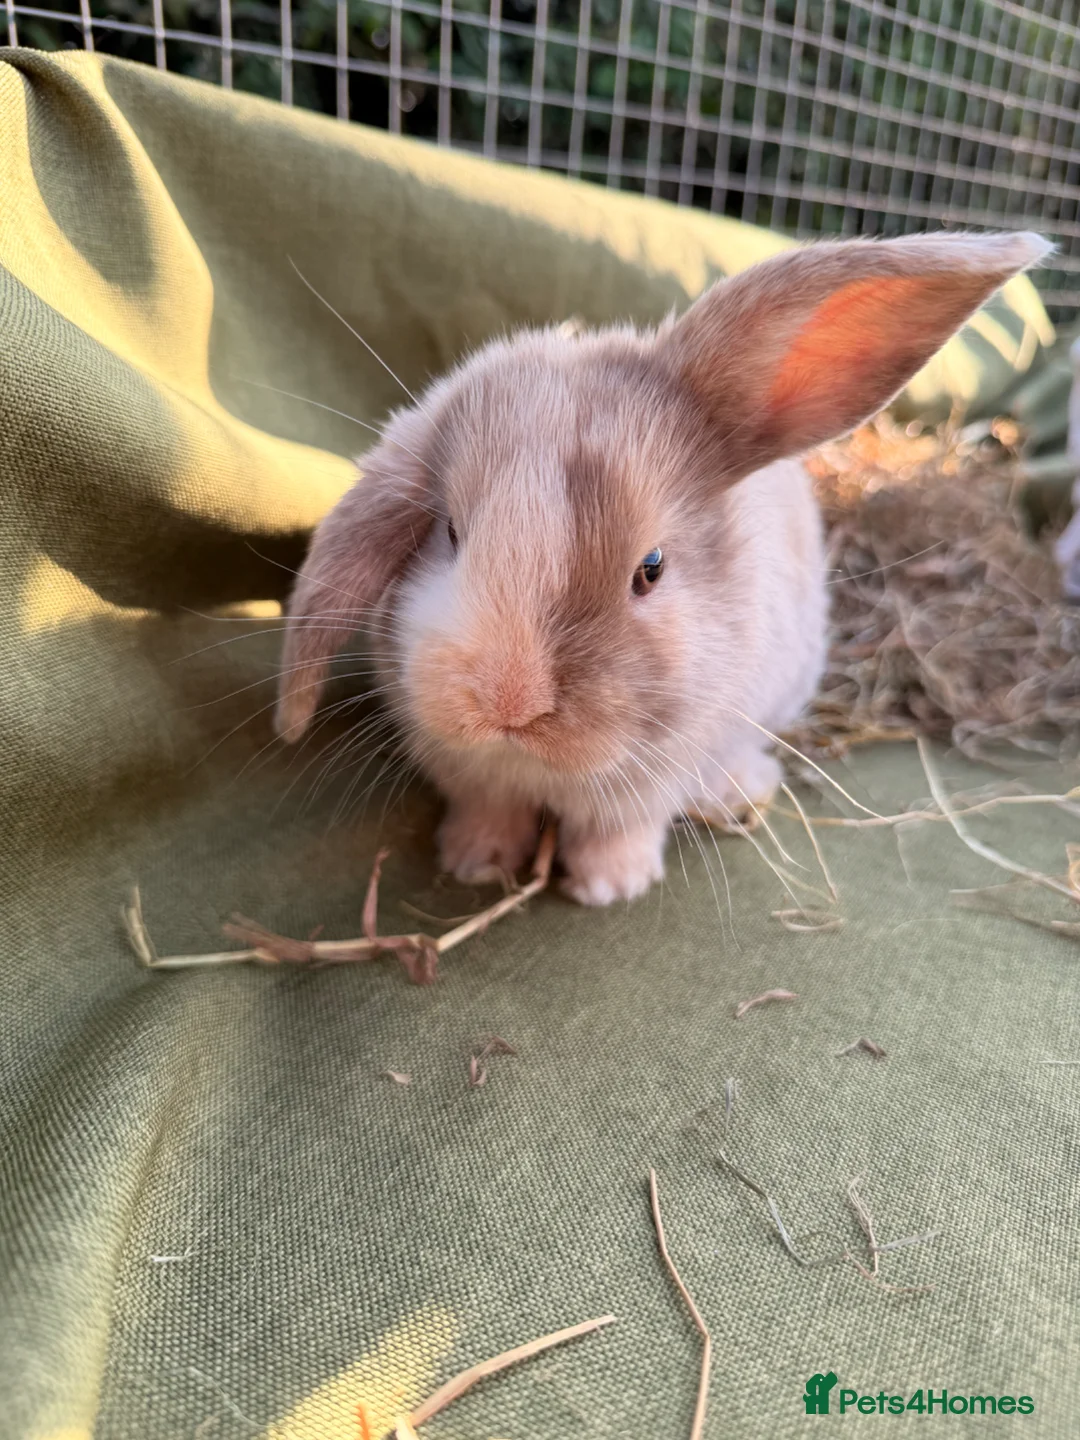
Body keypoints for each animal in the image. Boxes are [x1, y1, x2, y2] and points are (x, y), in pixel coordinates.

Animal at [276, 231, 1050, 905]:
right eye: (450, 534)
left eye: (651, 567)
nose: (508, 703)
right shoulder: (474, 778)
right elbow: (490, 812)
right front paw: (474, 863)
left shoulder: (654, 778)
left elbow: (621, 830)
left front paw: (609, 889)